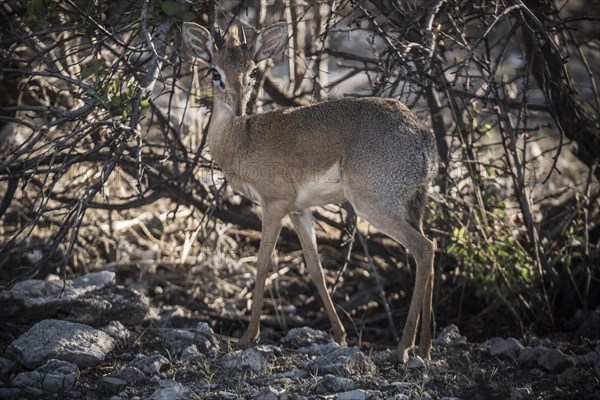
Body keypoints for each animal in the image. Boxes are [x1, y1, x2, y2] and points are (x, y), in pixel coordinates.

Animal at [182, 20, 436, 360]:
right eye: (215, 71)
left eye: (252, 71)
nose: (236, 107)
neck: (241, 141)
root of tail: (423, 137)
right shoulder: (299, 211)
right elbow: (315, 268)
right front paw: (340, 335)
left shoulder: (274, 205)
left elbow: (261, 264)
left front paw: (248, 337)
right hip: (412, 207)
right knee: (431, 248)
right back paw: (425, 346)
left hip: (373, 206)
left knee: (423, 249)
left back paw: (403, 347)